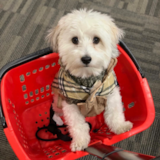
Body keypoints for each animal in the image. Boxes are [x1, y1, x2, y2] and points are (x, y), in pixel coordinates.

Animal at [46, 8, 132, 151]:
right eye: (74, 40)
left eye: (96, 39)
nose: (86, 59)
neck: (87, 77)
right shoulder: (69, 103)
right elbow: (77, 125)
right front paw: (80, 141)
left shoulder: (111, 93)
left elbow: (114, 112)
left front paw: (120, 126)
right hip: (57, 102)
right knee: (56, 113)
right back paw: (58, 120)